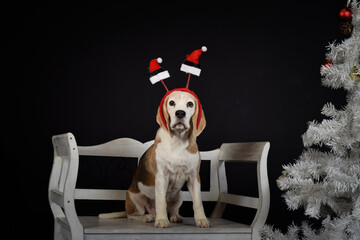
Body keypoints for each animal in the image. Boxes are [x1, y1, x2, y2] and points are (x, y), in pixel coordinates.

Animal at [99, 89, 211, 228]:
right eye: (171, 103)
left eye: (190, 104)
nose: (180, 113)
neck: (178, 141)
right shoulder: (162, 177)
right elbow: (161, 201)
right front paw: (162, 220)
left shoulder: (194, 178)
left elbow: (198, 202)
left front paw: (201, 219)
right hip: (134, 197)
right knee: (133, 215)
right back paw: (147, 217)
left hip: (178, 196)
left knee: (172, 210)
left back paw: (175, 216)